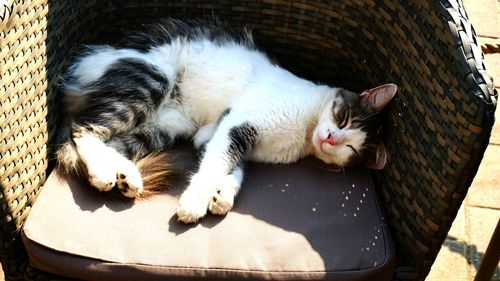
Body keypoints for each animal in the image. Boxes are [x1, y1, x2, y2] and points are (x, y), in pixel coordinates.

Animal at [55, 18, 398, 223]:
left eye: (351, 150)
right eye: (343, 118)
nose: (330, 139)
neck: (304, 132)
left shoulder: (220, 132)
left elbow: (233, 167)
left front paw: (223, 195)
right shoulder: (238, 124)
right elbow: (215, 165)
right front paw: (195, 202)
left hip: (165, 126)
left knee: (108, 141)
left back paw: (126, 176)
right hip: (152, 79)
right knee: (83, 128)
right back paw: (105, 173)